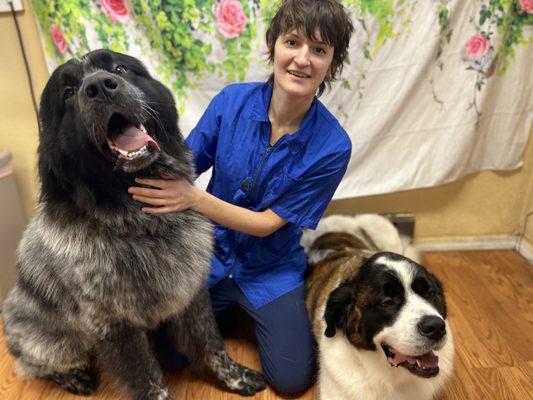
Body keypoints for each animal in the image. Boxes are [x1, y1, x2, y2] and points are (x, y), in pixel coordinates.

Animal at [1, 50, 264, 400]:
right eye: (68, 93)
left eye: (120, 69)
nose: (100, 86)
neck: (141, 223)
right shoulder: (115, 326)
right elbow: (147, 379)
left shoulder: (192, 292)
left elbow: (213, 343)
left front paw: (234, 377)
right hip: (51, 342)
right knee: (36, 364)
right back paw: (73, 376)